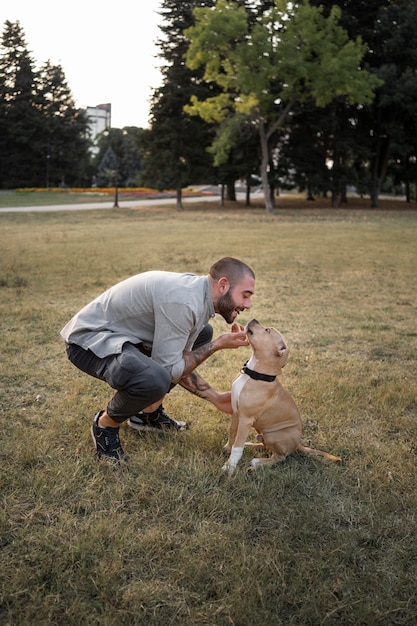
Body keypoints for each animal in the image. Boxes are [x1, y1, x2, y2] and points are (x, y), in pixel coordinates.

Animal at [223, 316, 340, 472]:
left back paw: (257, 463)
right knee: (265, 446)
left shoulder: (246, 419)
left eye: (267, 330)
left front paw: (229, 466)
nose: (254, 318)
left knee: (279, 457)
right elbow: (232, 432)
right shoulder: (236, 413)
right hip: (262, 434)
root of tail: (298, 444)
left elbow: (237, 446)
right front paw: (227, 449)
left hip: (273, 435)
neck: (255, 374)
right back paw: (250, 445)